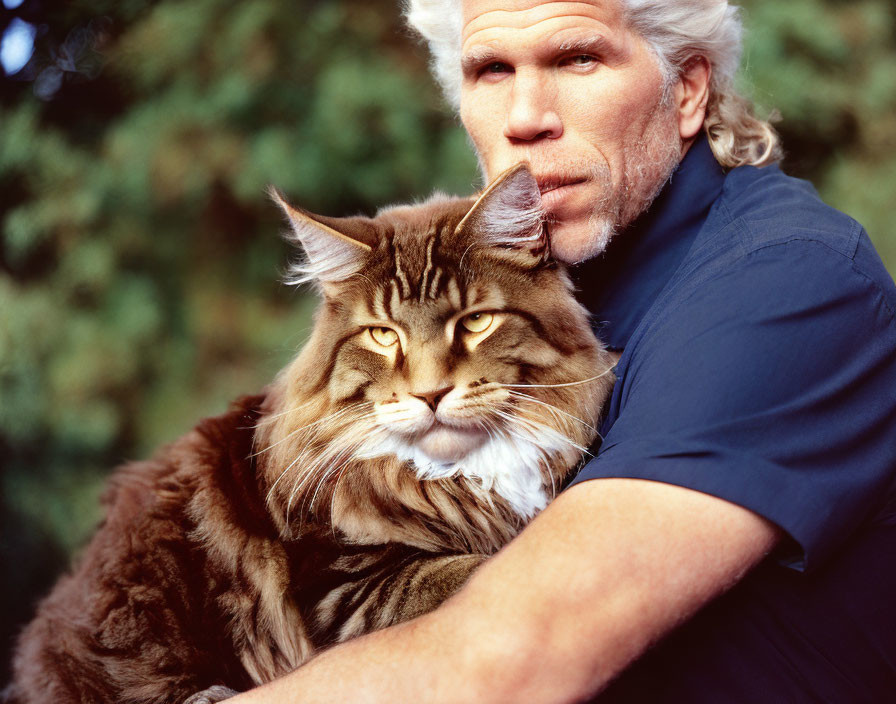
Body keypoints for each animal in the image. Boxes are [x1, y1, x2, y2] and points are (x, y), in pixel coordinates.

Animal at [7, 165, 616, 704]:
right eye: (382, 336)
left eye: (475, 323)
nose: (431, 394)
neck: (458, 475)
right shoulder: (341, 592)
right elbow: (473, 567)